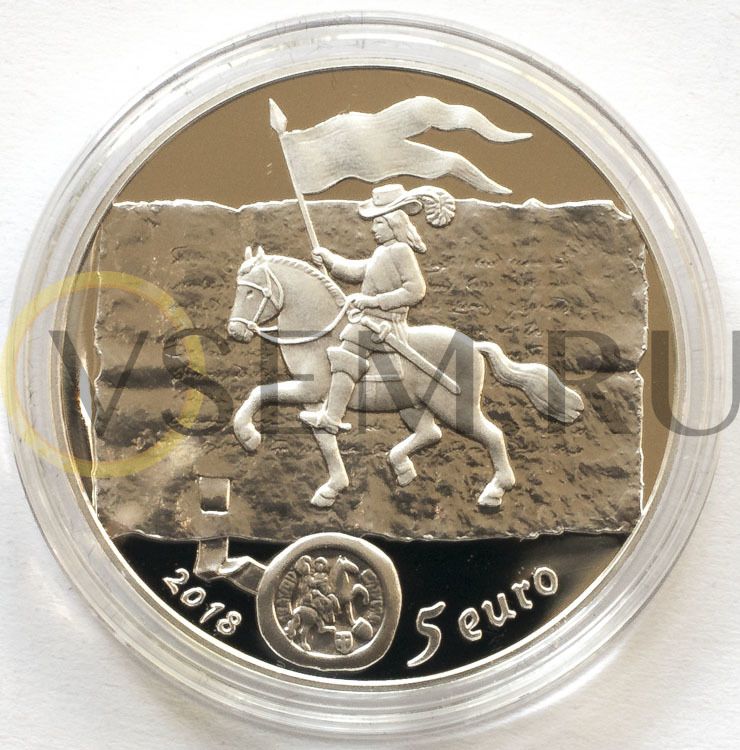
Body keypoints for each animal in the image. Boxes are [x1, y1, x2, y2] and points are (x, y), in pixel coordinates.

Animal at [227, 245, 583, 509]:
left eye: (251, 293)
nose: (235, 332)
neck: (319, 332)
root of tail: (475, 346)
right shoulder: (314, 400)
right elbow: (322, 437)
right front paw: (331, 488)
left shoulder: (311, 389)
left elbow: (262, 394)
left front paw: (248, 436)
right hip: (412, 405)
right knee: (430, 433)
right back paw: (401, 466)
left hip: (455, 407)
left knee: (492, 435)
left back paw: (493, 492)